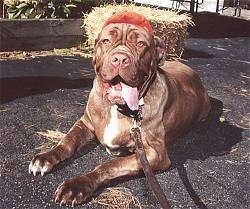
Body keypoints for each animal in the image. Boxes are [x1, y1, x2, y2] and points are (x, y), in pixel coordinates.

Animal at [28, 12, 210, 207]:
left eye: (140, 44)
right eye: (106, 41)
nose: (121, 59)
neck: (117, 107)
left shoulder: (155, 154)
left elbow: (109, 166)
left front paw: (78, 185)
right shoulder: (85, 122)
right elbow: (67, 141)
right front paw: (46, 157)